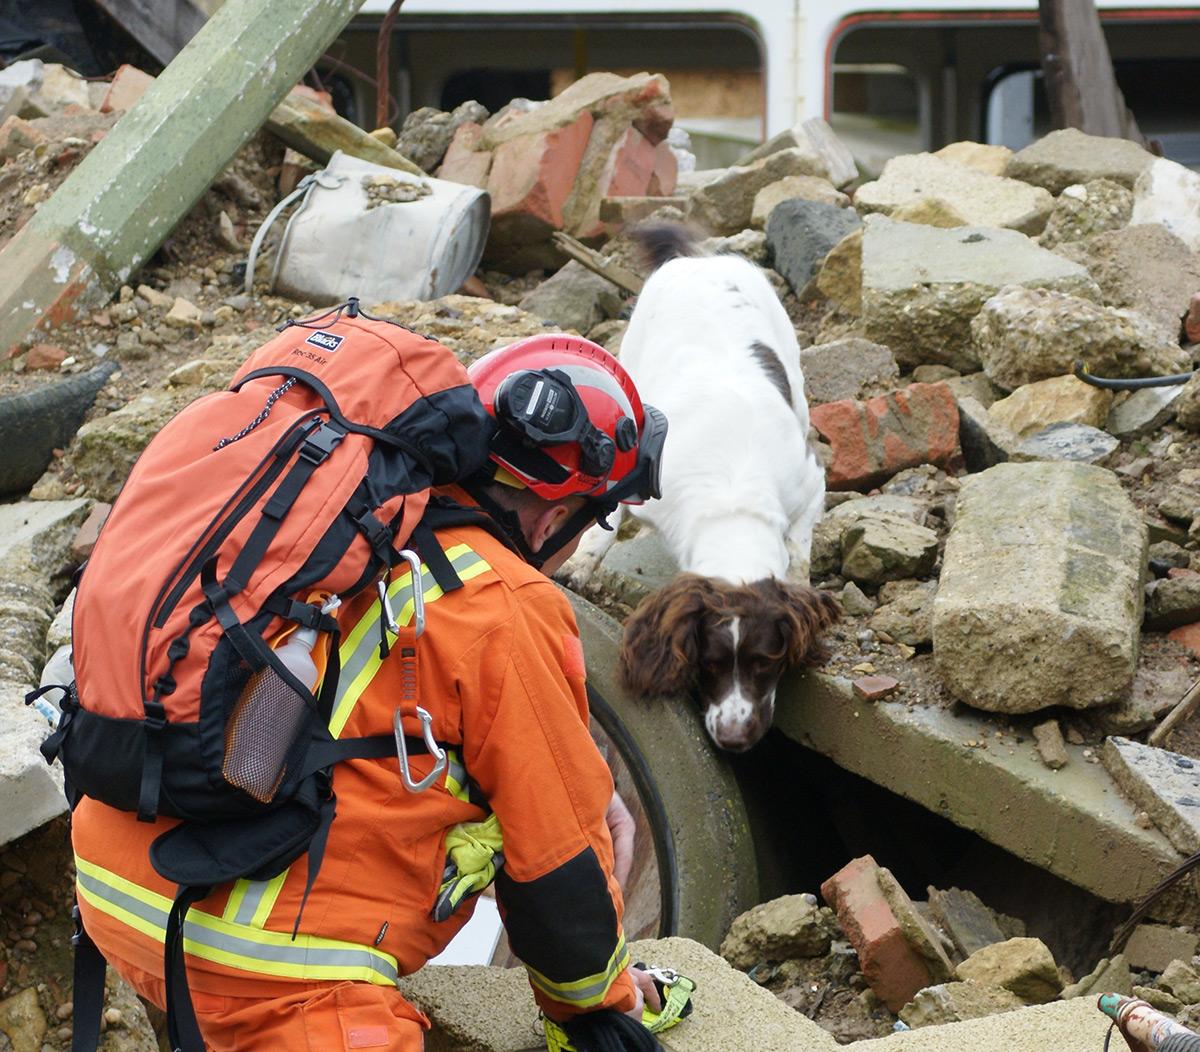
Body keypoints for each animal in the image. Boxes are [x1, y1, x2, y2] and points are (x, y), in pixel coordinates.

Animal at [559, 221, 835, 753]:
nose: (733, 739)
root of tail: (699, 259)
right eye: (708, 663)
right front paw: (582, 561)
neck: (733, 506)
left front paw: (800, 580)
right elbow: (608, 517)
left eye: (766, 662)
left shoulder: (810, 480)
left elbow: (799, 546)